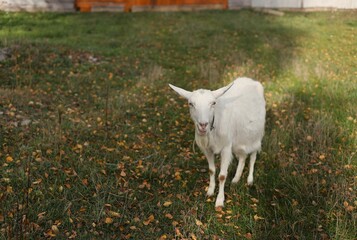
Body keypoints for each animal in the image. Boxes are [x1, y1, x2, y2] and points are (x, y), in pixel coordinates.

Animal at [169, 78, 264, 207]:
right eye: (190, 104)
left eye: (213, 103)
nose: (203, 125)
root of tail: (251, 80)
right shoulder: (207, 149)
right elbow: (211, 170)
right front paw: (210, 191)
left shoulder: (226, 148)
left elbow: (222, 176)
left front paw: (219, 201)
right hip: (239, 140)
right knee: (243, 156)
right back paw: (235, 179)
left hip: (255, 136)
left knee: (253, 156)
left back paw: (249, 180)